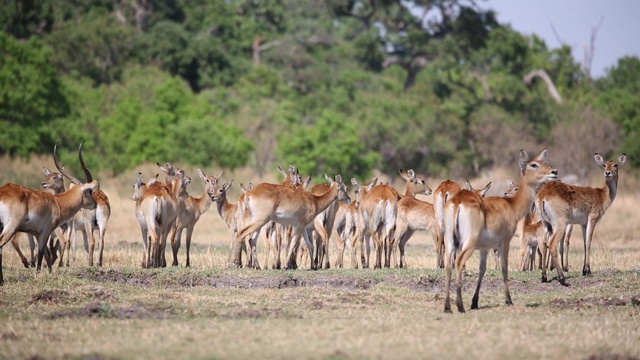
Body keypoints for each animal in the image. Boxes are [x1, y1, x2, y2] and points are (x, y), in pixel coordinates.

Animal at [0, 142, 99, 286]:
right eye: (90, 191)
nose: (95, 204)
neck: (57, 202)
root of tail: (3, 192)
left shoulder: (36, 233)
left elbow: (46, 254)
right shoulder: (45, 232)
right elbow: (41, 254)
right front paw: (38, 276)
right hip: (10, 227)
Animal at [442, 149, 556, 312]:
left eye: (543, 162)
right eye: (534, 164)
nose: (553, 172)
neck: (512, 205)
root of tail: (458, 201)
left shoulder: (485, 248)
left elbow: (482, 269)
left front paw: (475, 302)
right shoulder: (505, 242)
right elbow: (504, 267)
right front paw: (508, 300)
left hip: (450, 241)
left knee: (447, 265)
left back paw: (447, 307)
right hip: (468, 243)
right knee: (458, 262)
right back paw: (460, 306)